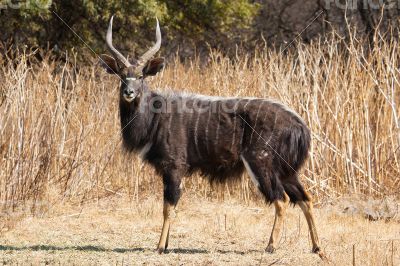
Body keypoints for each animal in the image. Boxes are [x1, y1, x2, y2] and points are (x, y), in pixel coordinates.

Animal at [100, 15, 324, 256]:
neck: (155, 117)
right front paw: (166, 245)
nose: (129, 92)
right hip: (287, 171)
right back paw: (317, 247)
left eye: (141, 76)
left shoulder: (174, 166)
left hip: (260, 162)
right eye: (122, 76)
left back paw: (271, 246)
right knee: (305, 198)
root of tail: (301, 126)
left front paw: (160, 247)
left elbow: (168, 206)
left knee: (281, 199)